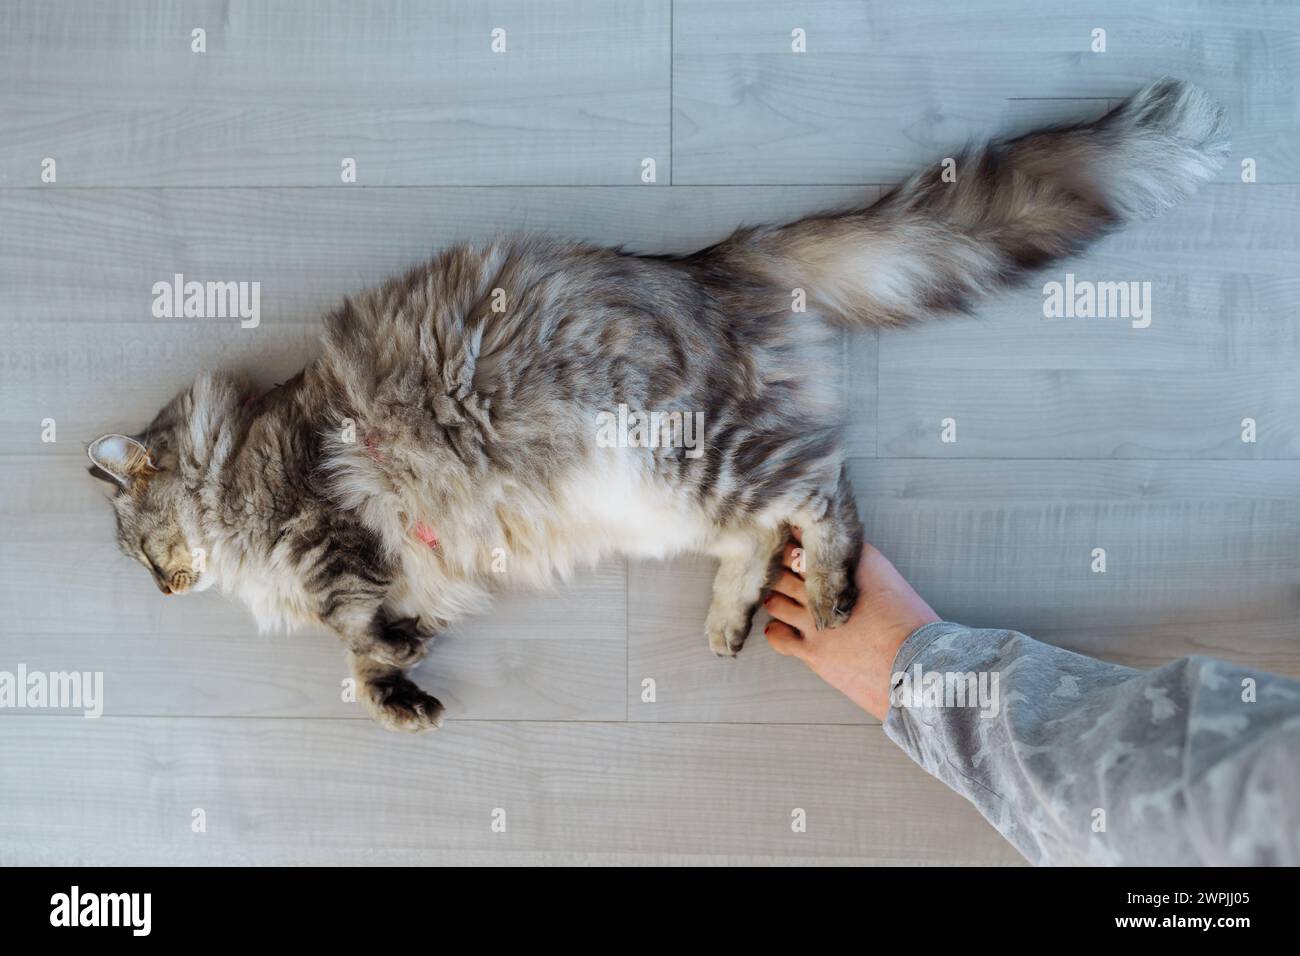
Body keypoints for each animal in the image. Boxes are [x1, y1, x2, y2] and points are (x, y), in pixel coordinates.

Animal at [89, 80, 1227, 733]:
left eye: (141, 552)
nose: (158, 592)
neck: (233, 452)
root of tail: (710, 263)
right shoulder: (392, 562)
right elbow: (379, 631)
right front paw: (405, 674)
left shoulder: (328, 532)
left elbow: (350, 631)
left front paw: (395, 679)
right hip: (668, 498)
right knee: (761, 532)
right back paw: (734, 616)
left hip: (688, 449)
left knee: (821, 489)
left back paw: (832, 596)